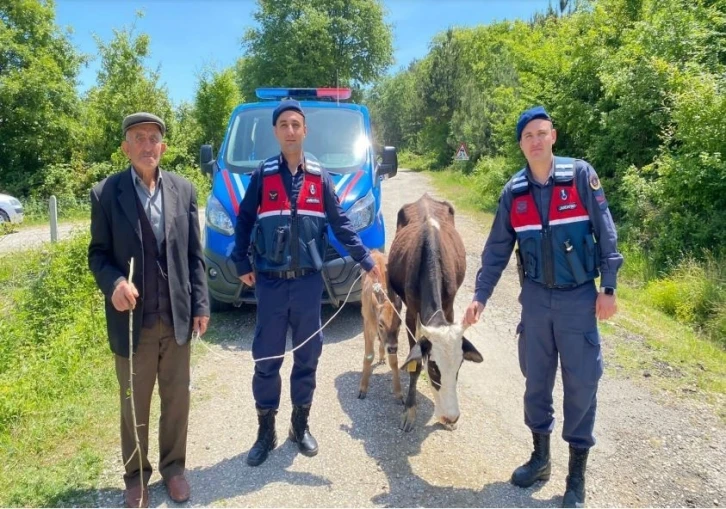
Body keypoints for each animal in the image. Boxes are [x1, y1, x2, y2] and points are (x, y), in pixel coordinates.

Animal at [362, 249, 406, 400]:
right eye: (381, 324)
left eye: (399, 323)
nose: (392, 348)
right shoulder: (368, 327)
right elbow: (369, 355)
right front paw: (362, 389)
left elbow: (394, 362)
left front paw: (399, 394)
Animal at [386, 192, 484, 430]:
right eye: (432, 368)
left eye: (459, 367)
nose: (451, 417)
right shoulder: (412, 314)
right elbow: (414, 365)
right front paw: (409, 410)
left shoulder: (449, 307)